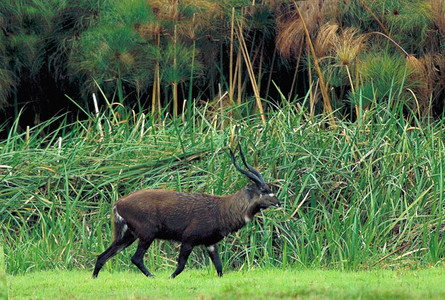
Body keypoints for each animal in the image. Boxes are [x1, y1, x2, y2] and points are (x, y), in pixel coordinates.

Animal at [92, 144, 280, 278]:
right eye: (263, 190)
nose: (278, 202)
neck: (221, 209)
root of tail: (118, 203)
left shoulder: (211, 243)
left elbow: (219, 268)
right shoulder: (188, 239)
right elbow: (181, 265)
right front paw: (169, 278)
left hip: (128, 235)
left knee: (102, 256)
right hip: (147, 233)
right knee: (135, 258)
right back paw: (153, 277)